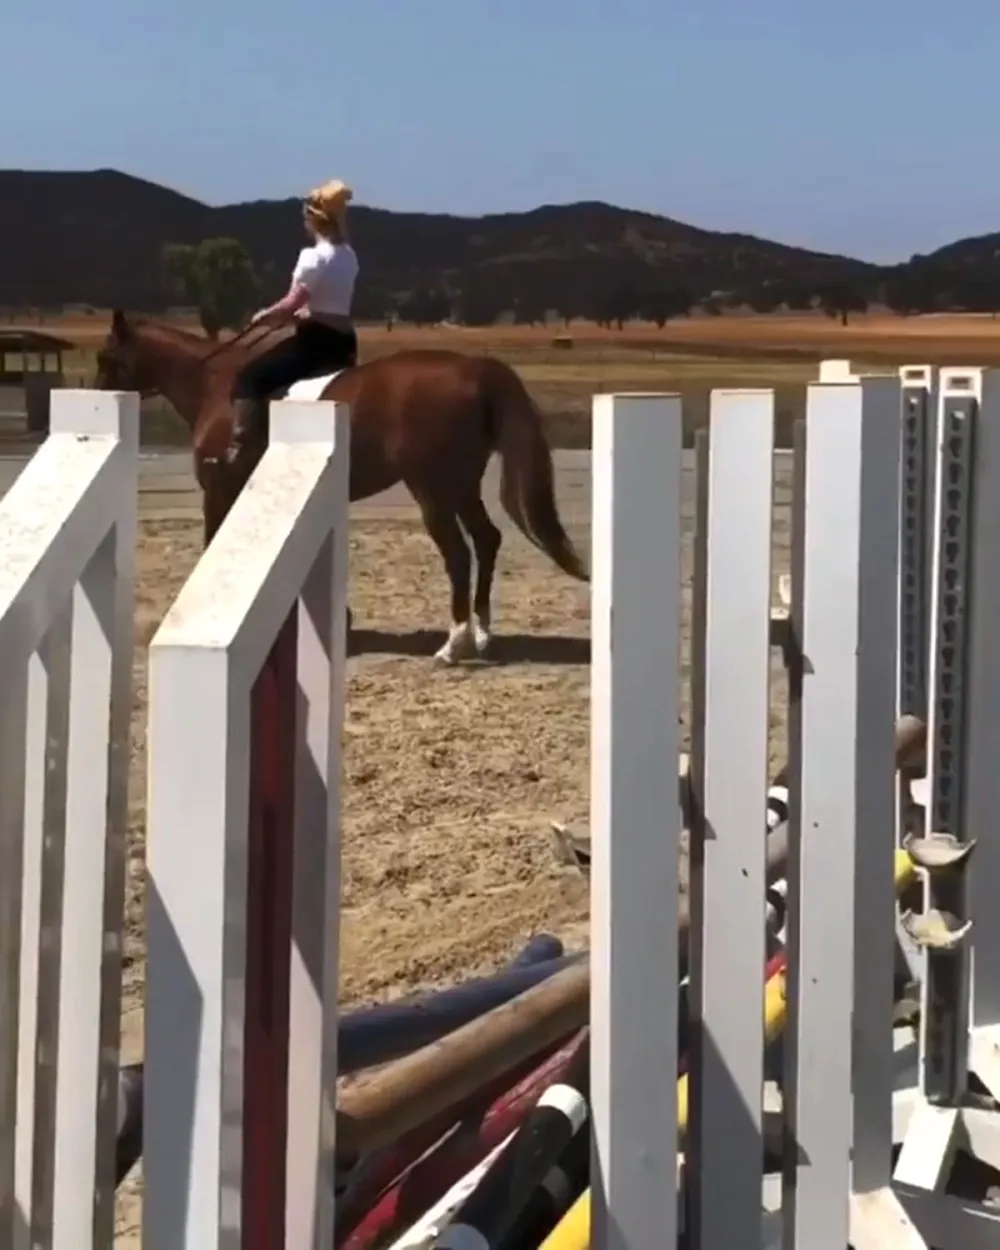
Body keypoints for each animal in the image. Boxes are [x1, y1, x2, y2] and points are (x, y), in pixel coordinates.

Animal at [93, 311, 588, 664]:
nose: (96, 397)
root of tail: (474, 369)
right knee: (487, 540)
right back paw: (483, 634)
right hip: (462, 484)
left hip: (432, 488)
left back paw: (454, 644)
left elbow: (213, 544)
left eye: (105, 358)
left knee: (458, 553)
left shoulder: (219, 491)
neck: (214, 388)